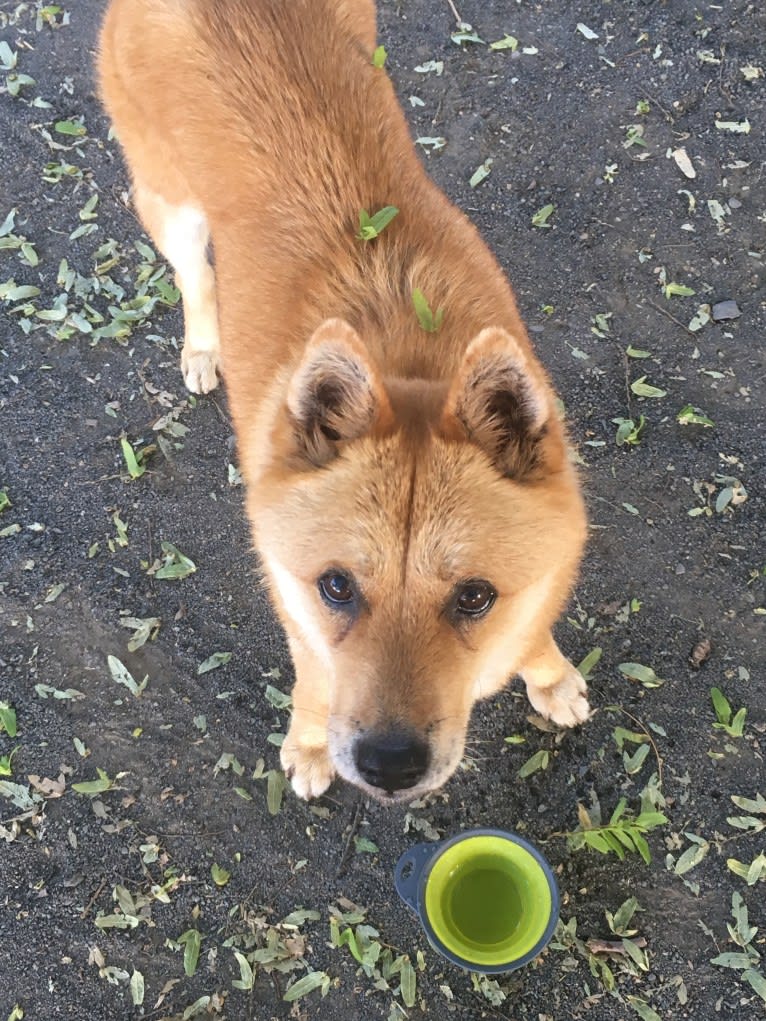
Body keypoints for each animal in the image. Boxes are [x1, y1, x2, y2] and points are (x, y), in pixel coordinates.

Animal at [99, 0, 592, 804]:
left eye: (475, 597)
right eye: (336, 586)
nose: (390, 765)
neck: (406, 358)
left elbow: (533, 631)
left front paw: (547, 674)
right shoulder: (294, 603)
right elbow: (314, 681)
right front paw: (307, 743)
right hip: (169, 204)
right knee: (195, 276)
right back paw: (204, 347)